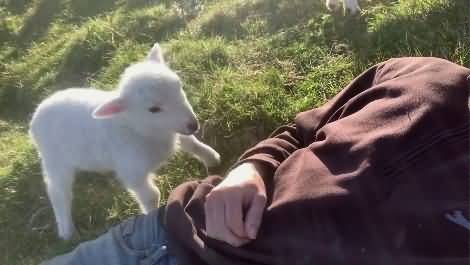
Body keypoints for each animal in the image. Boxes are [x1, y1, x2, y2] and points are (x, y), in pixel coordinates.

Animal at [29, 41, 220, 239]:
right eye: (153, 109)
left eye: (179, 86)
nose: (194, 125)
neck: (137, 127)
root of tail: (37, 114)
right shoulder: (132, 171)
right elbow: (151, 195)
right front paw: (152, 216)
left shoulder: (175, 131)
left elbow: (193, 144)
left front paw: (212, 159)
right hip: (55, 161)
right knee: (58, 192)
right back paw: (66, 230)